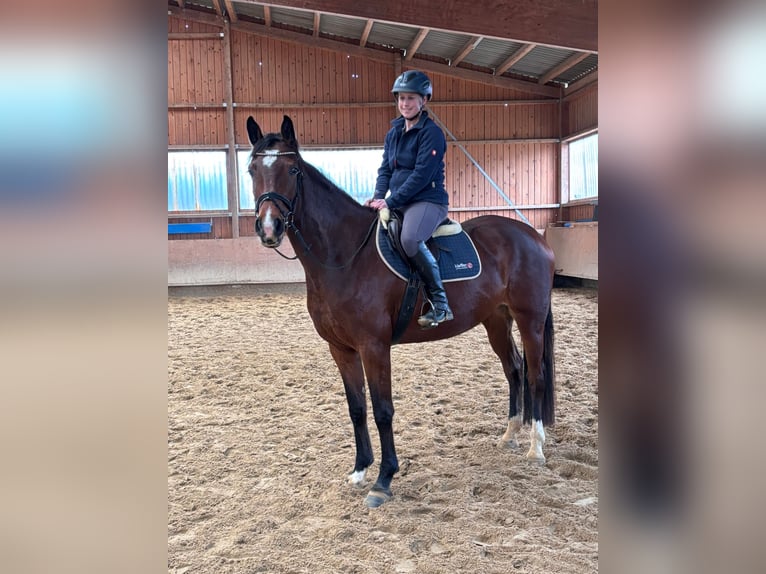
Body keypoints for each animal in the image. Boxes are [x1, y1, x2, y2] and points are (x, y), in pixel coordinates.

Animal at [249, 116, 556, 508]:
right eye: (252, 170)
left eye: (292, 170)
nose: (268, 228)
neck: (345, 256)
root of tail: (534, 236)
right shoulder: (341, 349)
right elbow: (357, 408)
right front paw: (359, 470)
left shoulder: (374, 347)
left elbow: (383, 411)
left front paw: (383, 480)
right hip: (496, 320)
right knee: (514, 368)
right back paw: (510, 434)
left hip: (530, 319)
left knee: (536, 375)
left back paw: (536, 448)